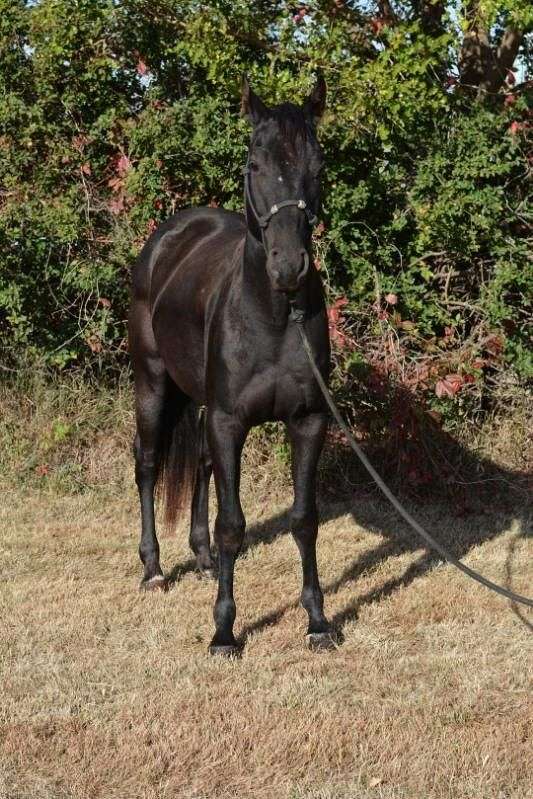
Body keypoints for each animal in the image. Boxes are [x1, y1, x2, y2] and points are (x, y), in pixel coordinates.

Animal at [129, 76, 334, 656]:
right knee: (147, 464)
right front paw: (224, 632)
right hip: (152, 384)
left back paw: (199, 558)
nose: (289, 268)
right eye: (255, 163)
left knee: (199, 463)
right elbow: (233, 525)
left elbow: (304, 520)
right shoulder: (229, 421)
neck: (273, 317)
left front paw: (317, 621)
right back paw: (153, 568)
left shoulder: (309, 421)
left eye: (317, 164)